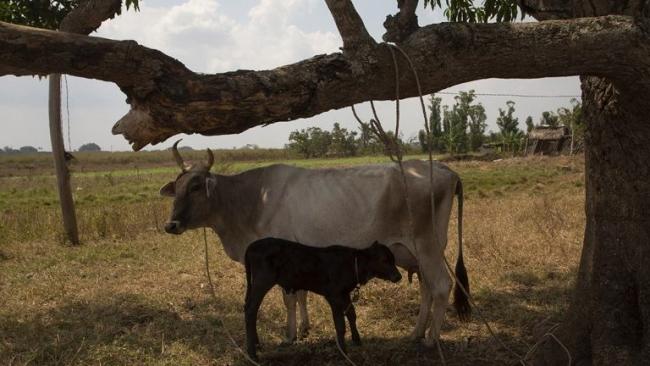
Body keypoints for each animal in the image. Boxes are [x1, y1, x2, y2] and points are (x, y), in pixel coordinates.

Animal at [159, 143, 468, 346]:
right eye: (178, 187)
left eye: (196, 187)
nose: (170, 225)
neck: (250, 200)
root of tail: (445, 169)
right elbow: (301, 294)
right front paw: (304, 328)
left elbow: (289, 298)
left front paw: (290, 335)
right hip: (418, 253)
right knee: (427, 288)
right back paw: (416, 333)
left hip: (428, 247)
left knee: (441, 285)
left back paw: (431, 340)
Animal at [243, 237, 400, 360]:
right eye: (384, 260)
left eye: (393, 259)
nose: (399, 276)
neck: (352, 263)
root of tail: (252, 246)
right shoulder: (334, 296)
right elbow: (340, 324)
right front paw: (344, 352)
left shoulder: (345, 294)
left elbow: (352, 314)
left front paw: (357, 340)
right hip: (262, 281)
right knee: (251, 309)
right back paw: (252, 353)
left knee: (249, 308)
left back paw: (257, 345)